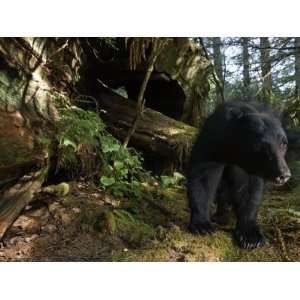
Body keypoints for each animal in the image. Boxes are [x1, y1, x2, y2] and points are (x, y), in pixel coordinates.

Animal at [188, 101, 290, 248]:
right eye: (261, 146)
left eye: (284, 143)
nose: (283, 174)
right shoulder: (213, 138)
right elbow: (203, 175)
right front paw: (202, 225)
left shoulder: (250, 167)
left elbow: (248, 189)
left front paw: (251, 236)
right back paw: (221, 214)